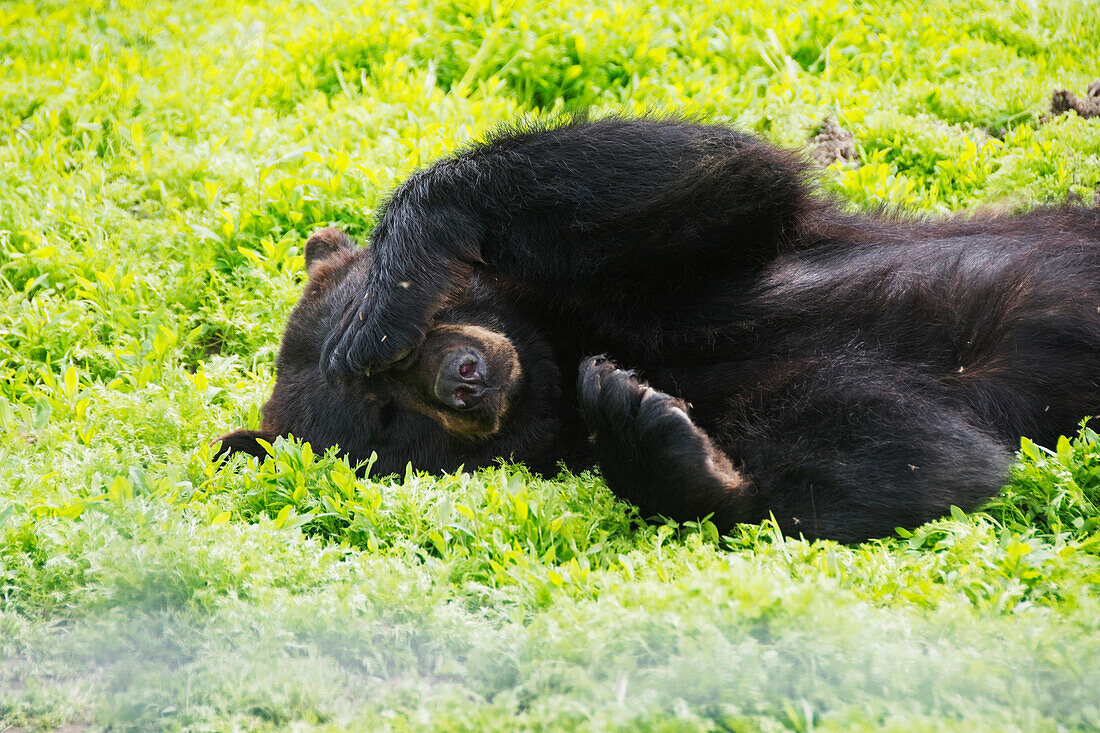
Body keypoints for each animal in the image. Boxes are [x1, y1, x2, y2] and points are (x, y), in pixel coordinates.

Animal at [212, 118, 1100, 541]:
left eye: (387, 378)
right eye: (387, 420)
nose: (464, 375)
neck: (556, 358)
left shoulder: (672, 283)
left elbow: (716, 176)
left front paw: (385, 295)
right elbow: (922, 451)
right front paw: (650, 430)